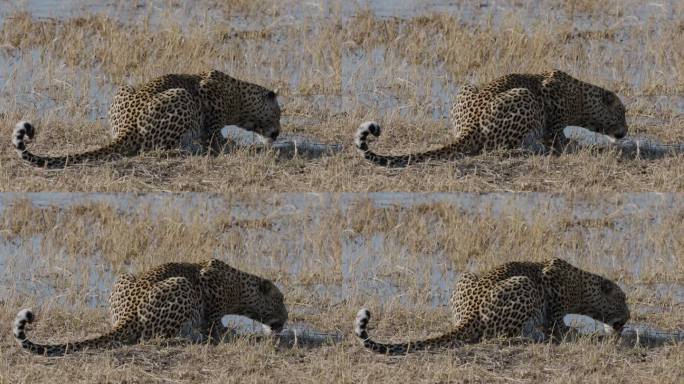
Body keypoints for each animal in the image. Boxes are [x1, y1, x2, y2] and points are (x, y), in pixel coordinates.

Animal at [10, 70, 280, 168]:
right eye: (278, 113)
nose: (277, 133)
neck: (239, 97)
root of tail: (126, 126)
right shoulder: (209, 105)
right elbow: (217, 138)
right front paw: (235, 146)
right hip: (182, 97)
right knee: (164, 147)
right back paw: (190, 148)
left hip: (123, 88)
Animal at [14, 260, 286, 356]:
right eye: (281, 300)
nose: (286, 317)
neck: (239, 287)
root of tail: (127, 314)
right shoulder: (210, 301)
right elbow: (217, 325)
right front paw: (238, 334)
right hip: (181, 285)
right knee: (156, 336)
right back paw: (194, 336)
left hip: (124, 276)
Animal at [356, 70, 628, 166]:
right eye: (622, 112)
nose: (626, 130)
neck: (581, 98)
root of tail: (469, 125)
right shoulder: (554, 123)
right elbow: (562, 139)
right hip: (524, 96)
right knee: (505, 146)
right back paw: (534, 148)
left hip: (467, 86)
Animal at [358, 258, 632, 354]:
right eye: (623, 299)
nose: (629, 317)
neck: (581, 286)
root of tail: (468, 314)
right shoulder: (553, 303)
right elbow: (560, 327)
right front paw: (584, 334)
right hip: (524, 285)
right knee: (503, 335)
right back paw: (532, 336)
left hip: (466, 275)